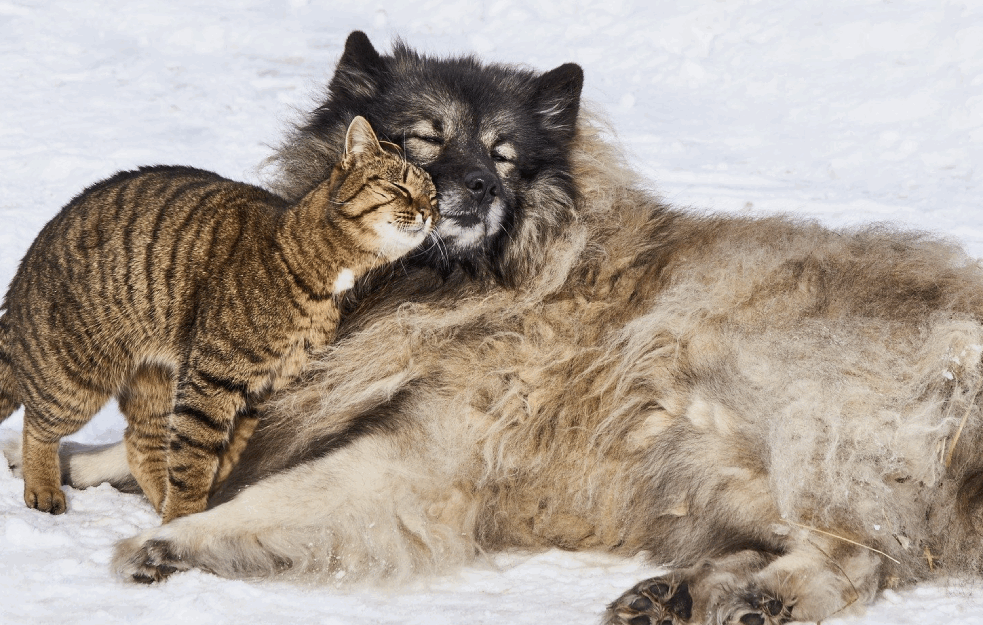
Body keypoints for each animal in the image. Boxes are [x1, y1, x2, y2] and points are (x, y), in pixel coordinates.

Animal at [0, 116, 438, 520]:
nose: (429, 214)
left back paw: (158, 501)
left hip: (155, 382)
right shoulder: (211, 380)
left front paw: (196, 503)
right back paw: (44, 487)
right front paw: (183, 516)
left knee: (140, 443)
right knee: (38, 427)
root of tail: (26, 264)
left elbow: (225, 451)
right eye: (399, 186)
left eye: (433, 197)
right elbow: (194, 459)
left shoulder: (262, 391)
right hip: (76, 377)